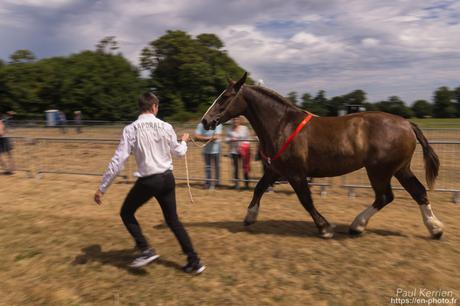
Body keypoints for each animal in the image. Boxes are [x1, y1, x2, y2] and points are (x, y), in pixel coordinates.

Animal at [200, 72, 442, 239]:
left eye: (225, 97)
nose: (205, 121)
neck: (282, 125)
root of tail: (407, 124)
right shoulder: (275, 170)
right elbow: (259, 188)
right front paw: (250, 216)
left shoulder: (296, 174)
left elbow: (306, 200)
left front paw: (325, 227)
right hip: (400, 169)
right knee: (418, 192)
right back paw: (435, 229)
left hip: (379, 171)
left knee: (384, 197)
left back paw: (357, 225)